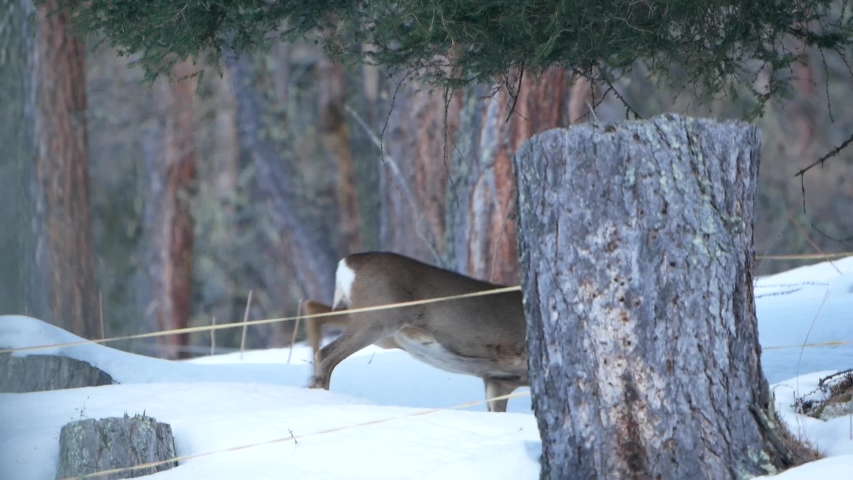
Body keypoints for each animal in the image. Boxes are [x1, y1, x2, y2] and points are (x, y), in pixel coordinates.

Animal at [305, 251, 529, 413]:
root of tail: (346, 264)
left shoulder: (498, 380)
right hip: (380, 317)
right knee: (326, 354)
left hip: (371, 322)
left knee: (313, 308)